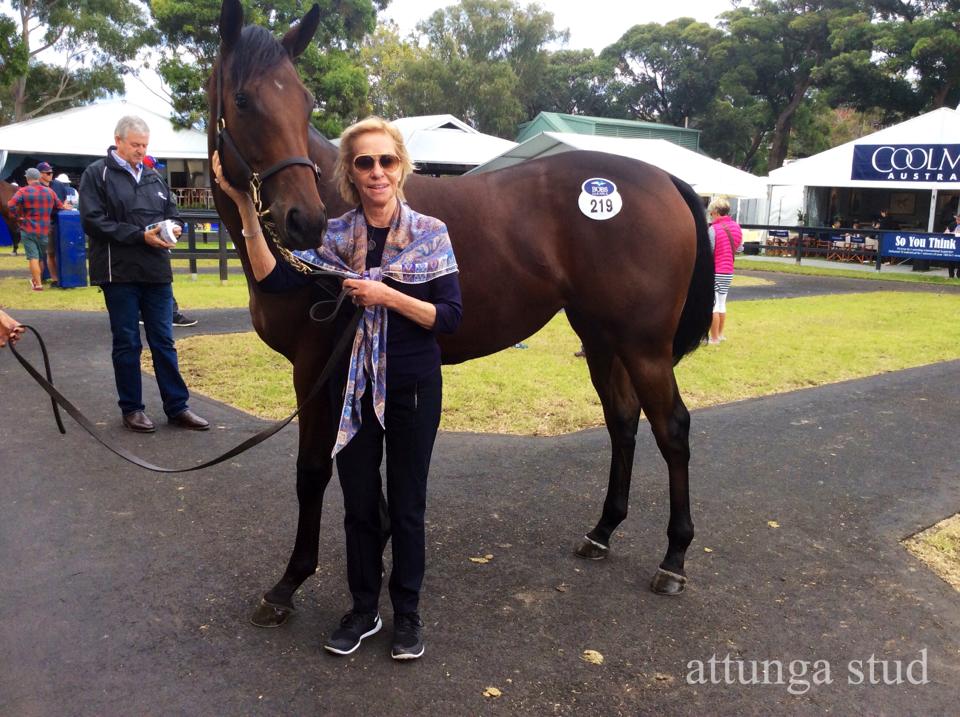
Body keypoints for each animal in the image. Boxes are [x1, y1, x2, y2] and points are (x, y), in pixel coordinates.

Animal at [210, 0, 715, 629]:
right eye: (244, 100)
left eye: (304, 102)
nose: (304, 219)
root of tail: (665, 178)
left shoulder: (315, 369)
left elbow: (312, 471)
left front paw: (288, 584)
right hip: (601, 337)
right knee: (622, 421)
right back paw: (601, 532)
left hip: (644, 345)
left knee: (672, 429)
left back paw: (674, 558)